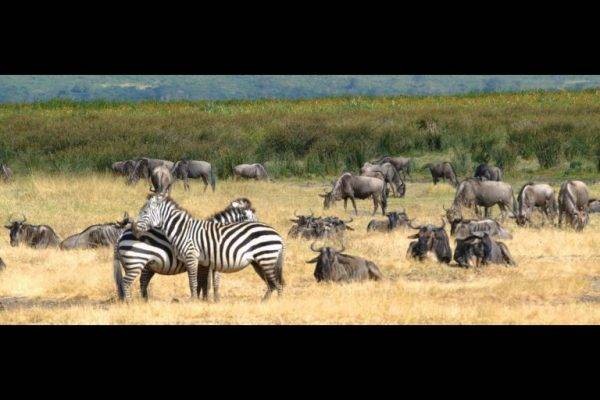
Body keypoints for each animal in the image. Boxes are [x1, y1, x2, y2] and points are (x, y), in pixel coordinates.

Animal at [123, 193, 284, 300]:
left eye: (144, 212)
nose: (135, 230)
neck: (182, 229)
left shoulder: (204, 261)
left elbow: (204, 283)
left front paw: (203, 300)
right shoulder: (204, 261)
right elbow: (201, 282)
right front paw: (203, 300)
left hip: (264, 260)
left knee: (274, 282)